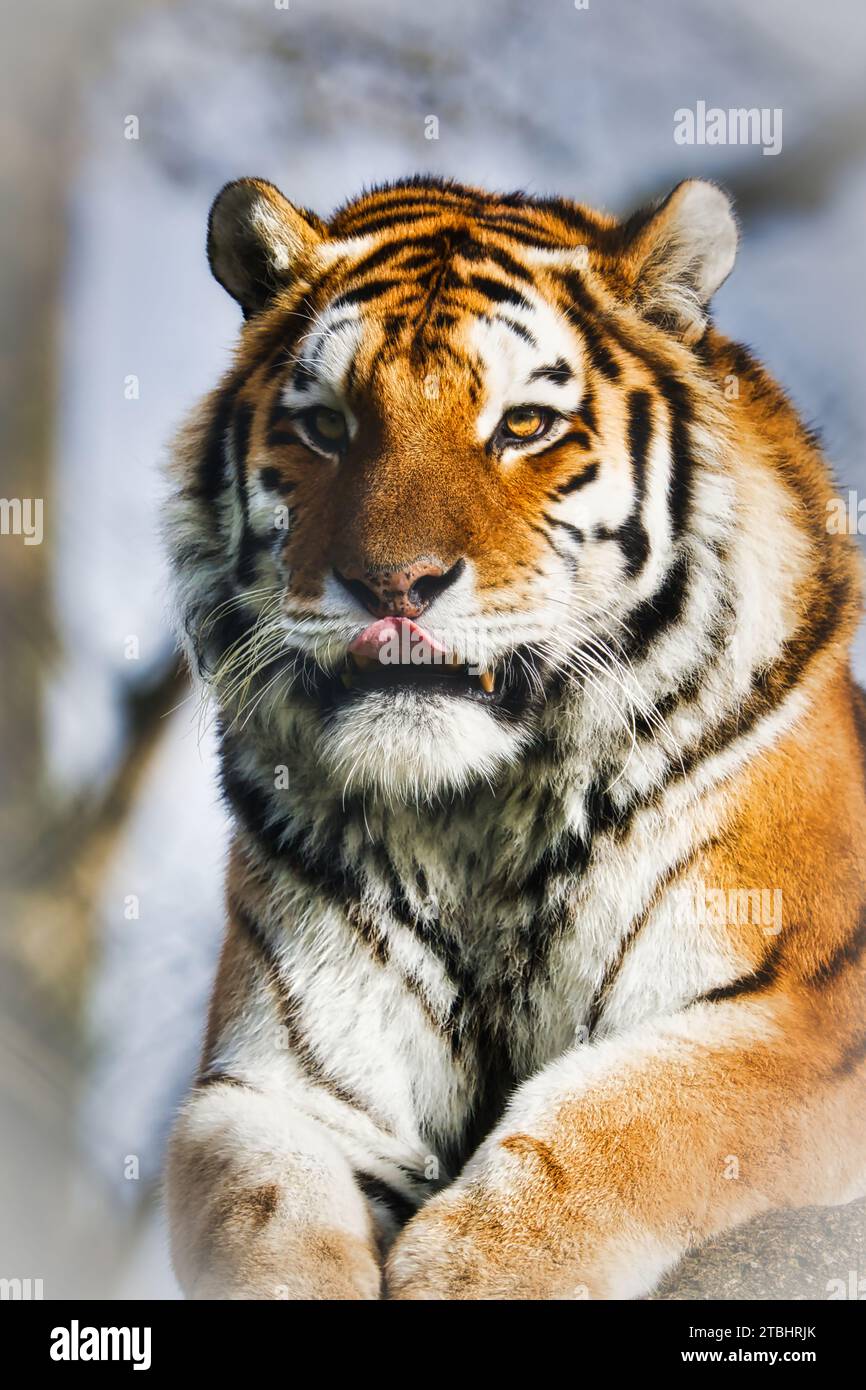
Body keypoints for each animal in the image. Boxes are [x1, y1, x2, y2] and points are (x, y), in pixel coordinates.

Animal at [164, 174, 866, 1300]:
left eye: (525, 424)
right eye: (327, 425)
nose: (393, 584)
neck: (475, 817)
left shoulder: (807, 1014)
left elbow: (627, 1113)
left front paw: (475, 1266)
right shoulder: (269, 1090)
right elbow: (266, 1216)